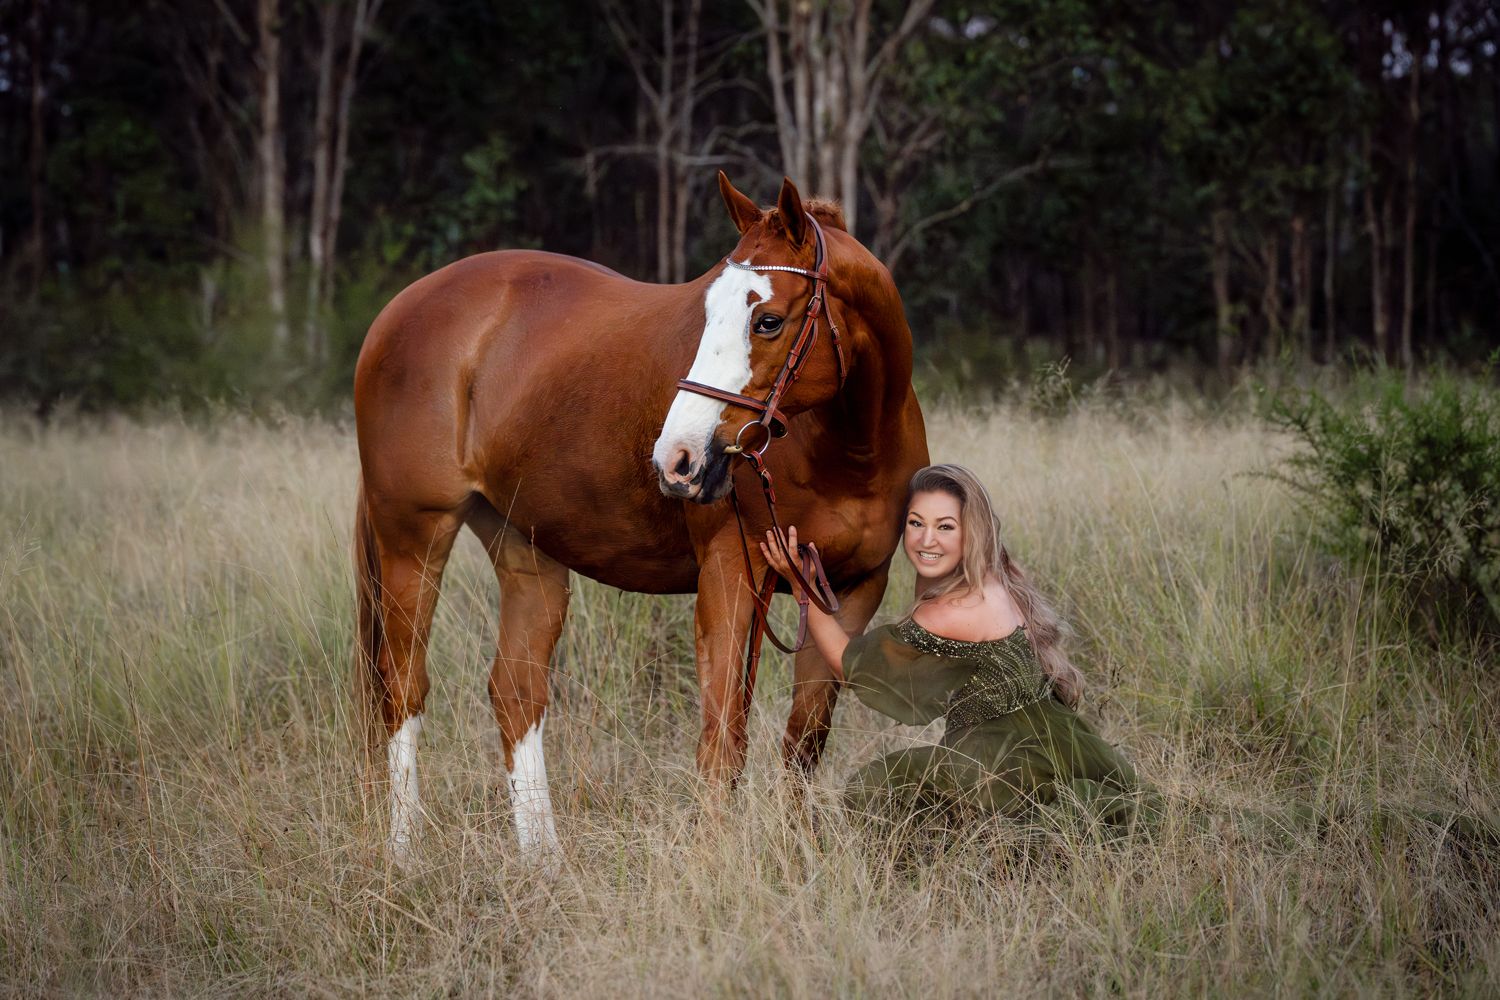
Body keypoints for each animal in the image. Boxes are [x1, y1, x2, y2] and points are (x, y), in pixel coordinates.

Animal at [353, 172, 929, 861]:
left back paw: (545, 864)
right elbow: (722, 741)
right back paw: (404, 854)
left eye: (767, 320)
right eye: (705, 314)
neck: (849, 449)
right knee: (403, 687)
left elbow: (804, 744)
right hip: (413, 537)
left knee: (516, 690)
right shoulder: (731, 576)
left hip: (526, 547)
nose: (675, 458)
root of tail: (399, 311)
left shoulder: (851, 591)